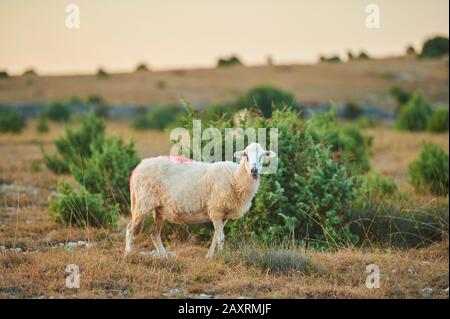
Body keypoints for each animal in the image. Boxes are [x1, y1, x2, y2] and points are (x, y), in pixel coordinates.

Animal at [125, 142, 276, 258]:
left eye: (262, 156)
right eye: (245, 155)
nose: (254, 171)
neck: (236, 178)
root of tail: (137, 168)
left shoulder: (224, 215)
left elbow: (215, 236)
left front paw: (209, 257)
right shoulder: (216, 210)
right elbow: (220, 238)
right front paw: (223, 258)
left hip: (158, 208)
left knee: (154, 232)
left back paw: (164, 256)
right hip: (143, 203)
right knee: (130, 229)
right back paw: (128, 254)